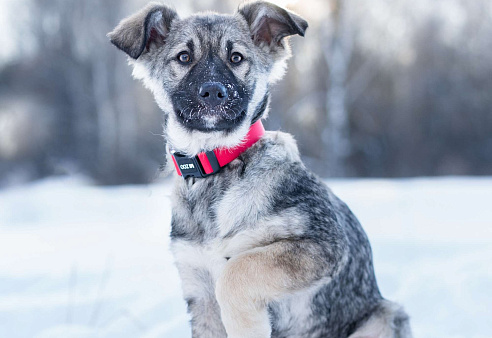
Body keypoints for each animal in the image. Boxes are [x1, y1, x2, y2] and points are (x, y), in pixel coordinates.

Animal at [109, 1, 414, 336]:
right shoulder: (198, 286)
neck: (217, 169)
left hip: (385, 314)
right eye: (184, 57)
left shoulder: (322, 244)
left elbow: (235, 273)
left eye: (236, 58)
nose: (213, 92)